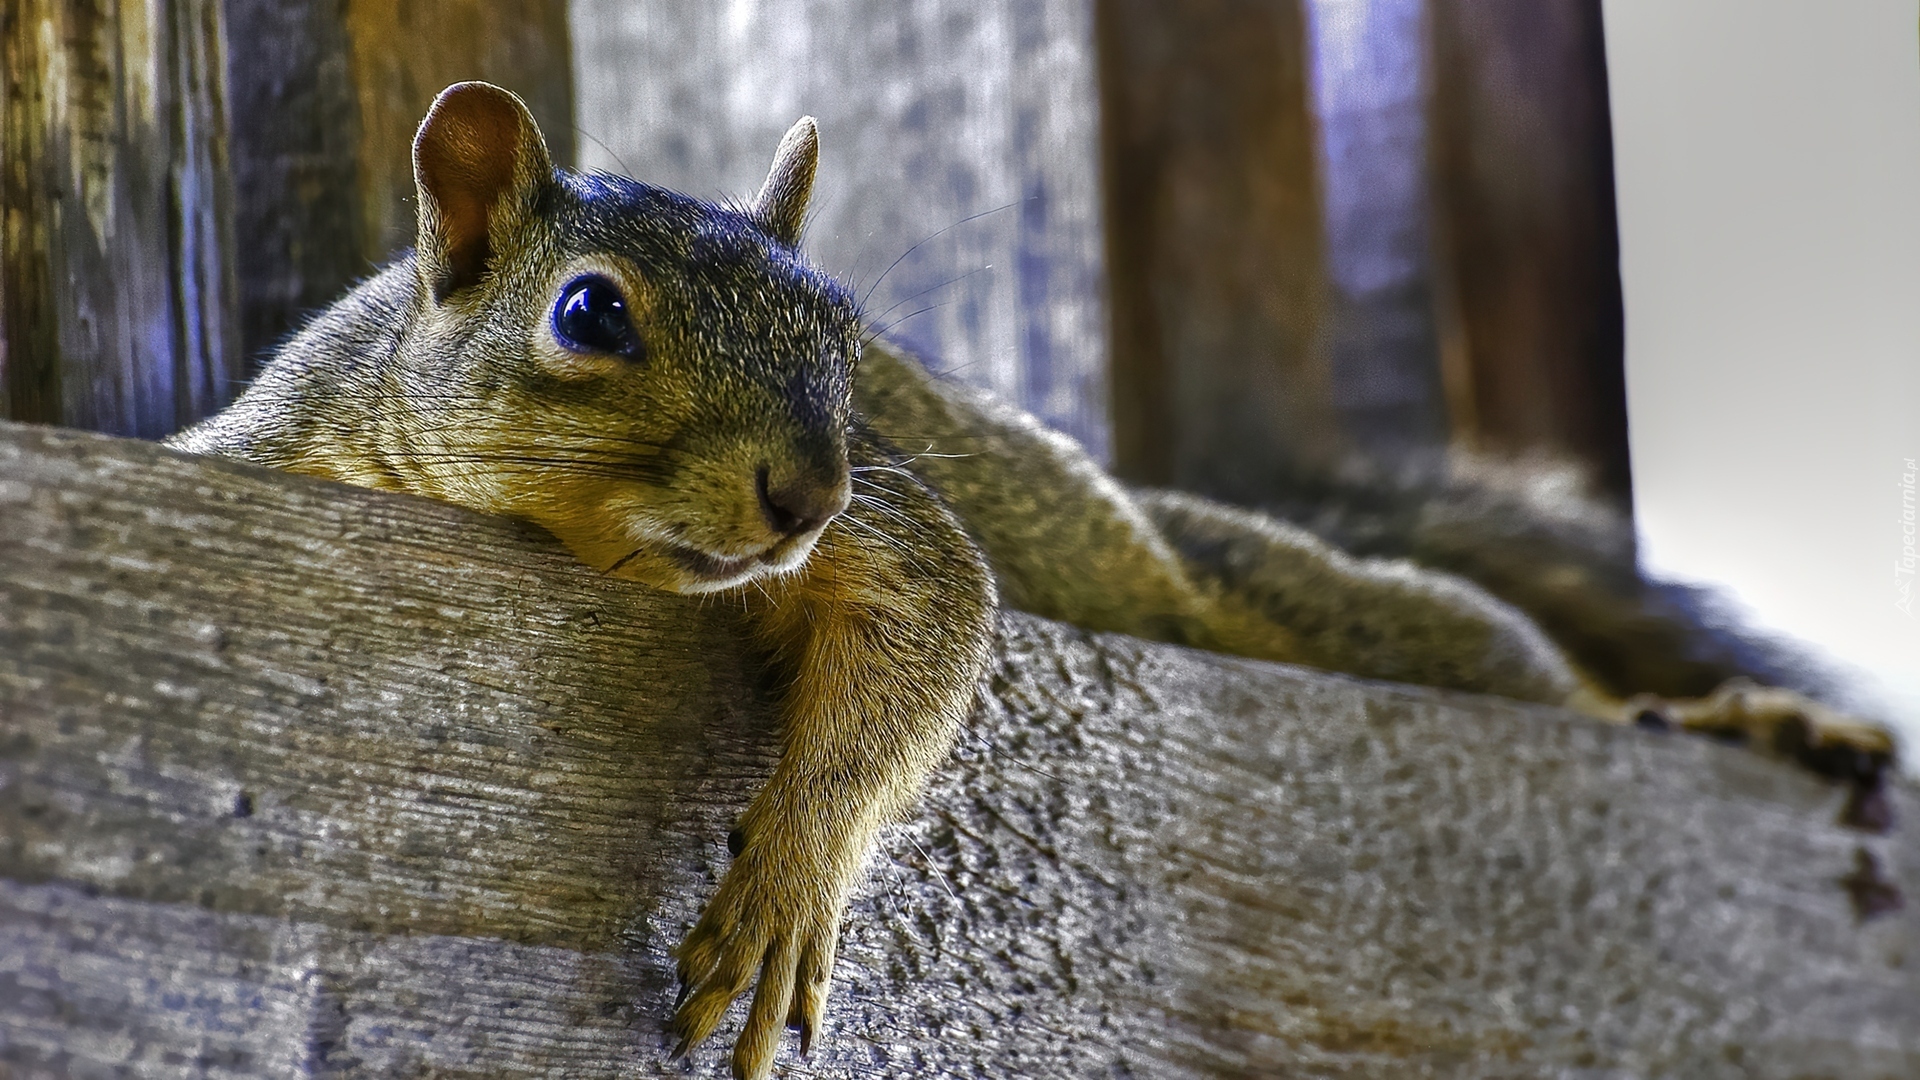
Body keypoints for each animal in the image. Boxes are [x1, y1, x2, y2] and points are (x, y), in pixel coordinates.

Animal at [172, 82, 1896, 1068]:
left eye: (849, 337)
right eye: (588, 317)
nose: (807, 486)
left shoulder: (897, 523)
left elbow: (920, 639)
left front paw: (788, 883)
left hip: (1314, 609)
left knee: (1508, 662)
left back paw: (1727, 716)